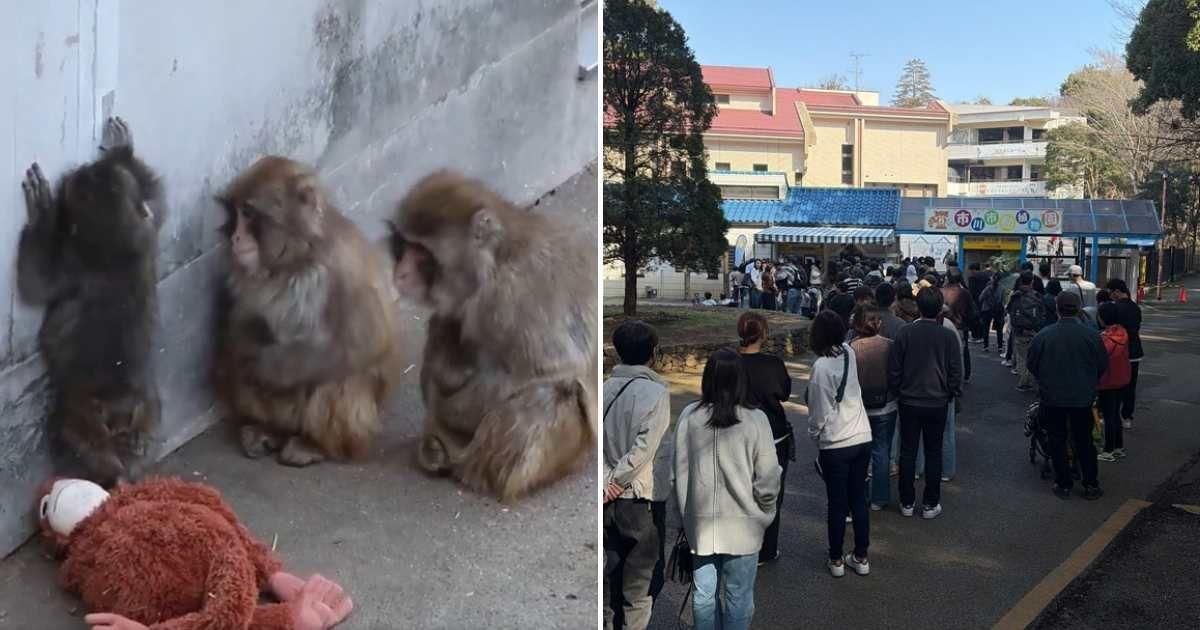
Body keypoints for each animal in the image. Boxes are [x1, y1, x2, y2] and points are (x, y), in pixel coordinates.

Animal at [17, 116, 164, 487]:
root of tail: (122, 410)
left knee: (76, 438)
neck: (116, 251)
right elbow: (157, 202)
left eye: (85, 177)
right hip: (149, 413)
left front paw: (41, 209)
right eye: (96, 172)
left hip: (79, 414)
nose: (82, 167)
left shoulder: (72, 267)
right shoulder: (146, 235)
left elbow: (35, 282)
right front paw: (123, 149)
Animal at [214, 156, 400, 467]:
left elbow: (367, 343)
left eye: (249, 213)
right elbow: (240, 327)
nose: (236, 237)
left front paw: (270, 366)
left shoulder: (343, 267)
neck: (297, 258)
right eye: (235, 213)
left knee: (338, 379)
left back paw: (313, 444)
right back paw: (267, 430)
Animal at [389, 170, 597, 501]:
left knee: (547, 395)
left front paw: (448, 408)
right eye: (403, 245)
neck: (498, 258)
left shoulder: (507, 299)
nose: (400, 274)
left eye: (422, 253)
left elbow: (550, 370)